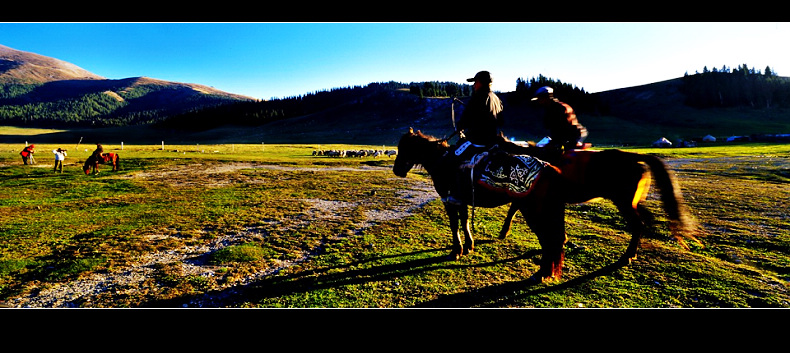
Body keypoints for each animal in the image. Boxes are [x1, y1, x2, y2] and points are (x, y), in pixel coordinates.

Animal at [392, 128, 700, 282]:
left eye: (404, 148)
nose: (397, 170)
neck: (445, 161)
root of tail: (635, 156)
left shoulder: (451, 199)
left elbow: (456, 225)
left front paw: (458, 250)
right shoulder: (462, 200)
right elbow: (466, 222)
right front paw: (469, 246)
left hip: (619, 202)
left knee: (631, 226)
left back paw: (625, 257)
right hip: (626, 202)